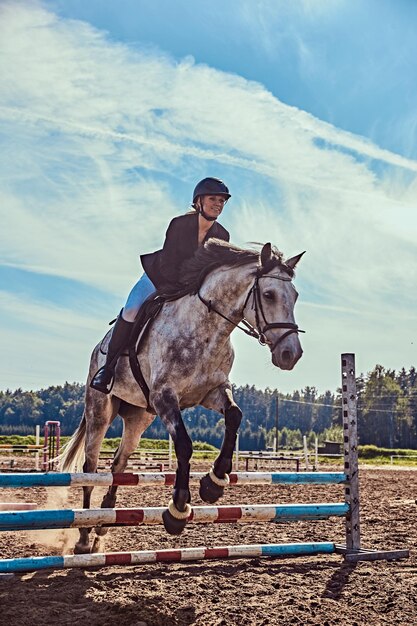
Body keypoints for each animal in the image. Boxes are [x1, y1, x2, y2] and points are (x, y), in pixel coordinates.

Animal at [59, 239, 302, 552]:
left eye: (294, 296)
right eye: (269, 295)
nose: (290, 354)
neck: (207, 329)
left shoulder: (212, 392)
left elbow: (234, 416)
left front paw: (214, 482)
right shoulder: (165, 398)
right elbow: (185, 445)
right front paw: (178, 510)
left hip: (139, 417)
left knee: (119, 463)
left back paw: (104, 521)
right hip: (99, 411)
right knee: (90, 468)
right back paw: (84, 535)